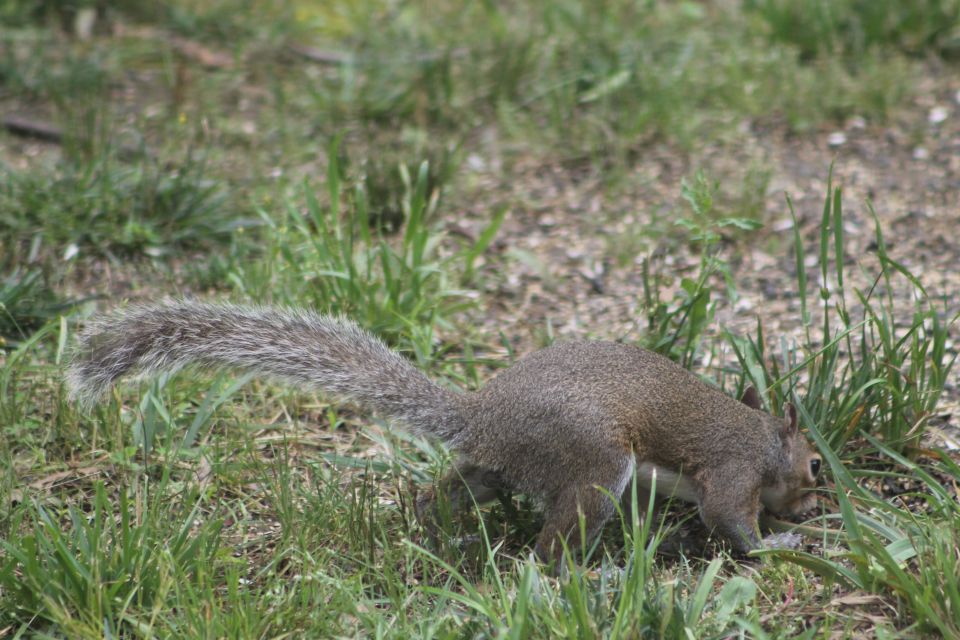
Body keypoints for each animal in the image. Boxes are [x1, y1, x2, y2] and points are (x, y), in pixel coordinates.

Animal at [67, 301, 821, 562]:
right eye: (815, 466)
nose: (810, 506)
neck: (764, 439)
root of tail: (483, 415)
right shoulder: (732, 471)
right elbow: (729, 520)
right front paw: (778, 544)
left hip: (498, 467)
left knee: (442, 493)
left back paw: (440, 534)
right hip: (596, 466)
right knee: (550, 549)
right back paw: (583, 575)